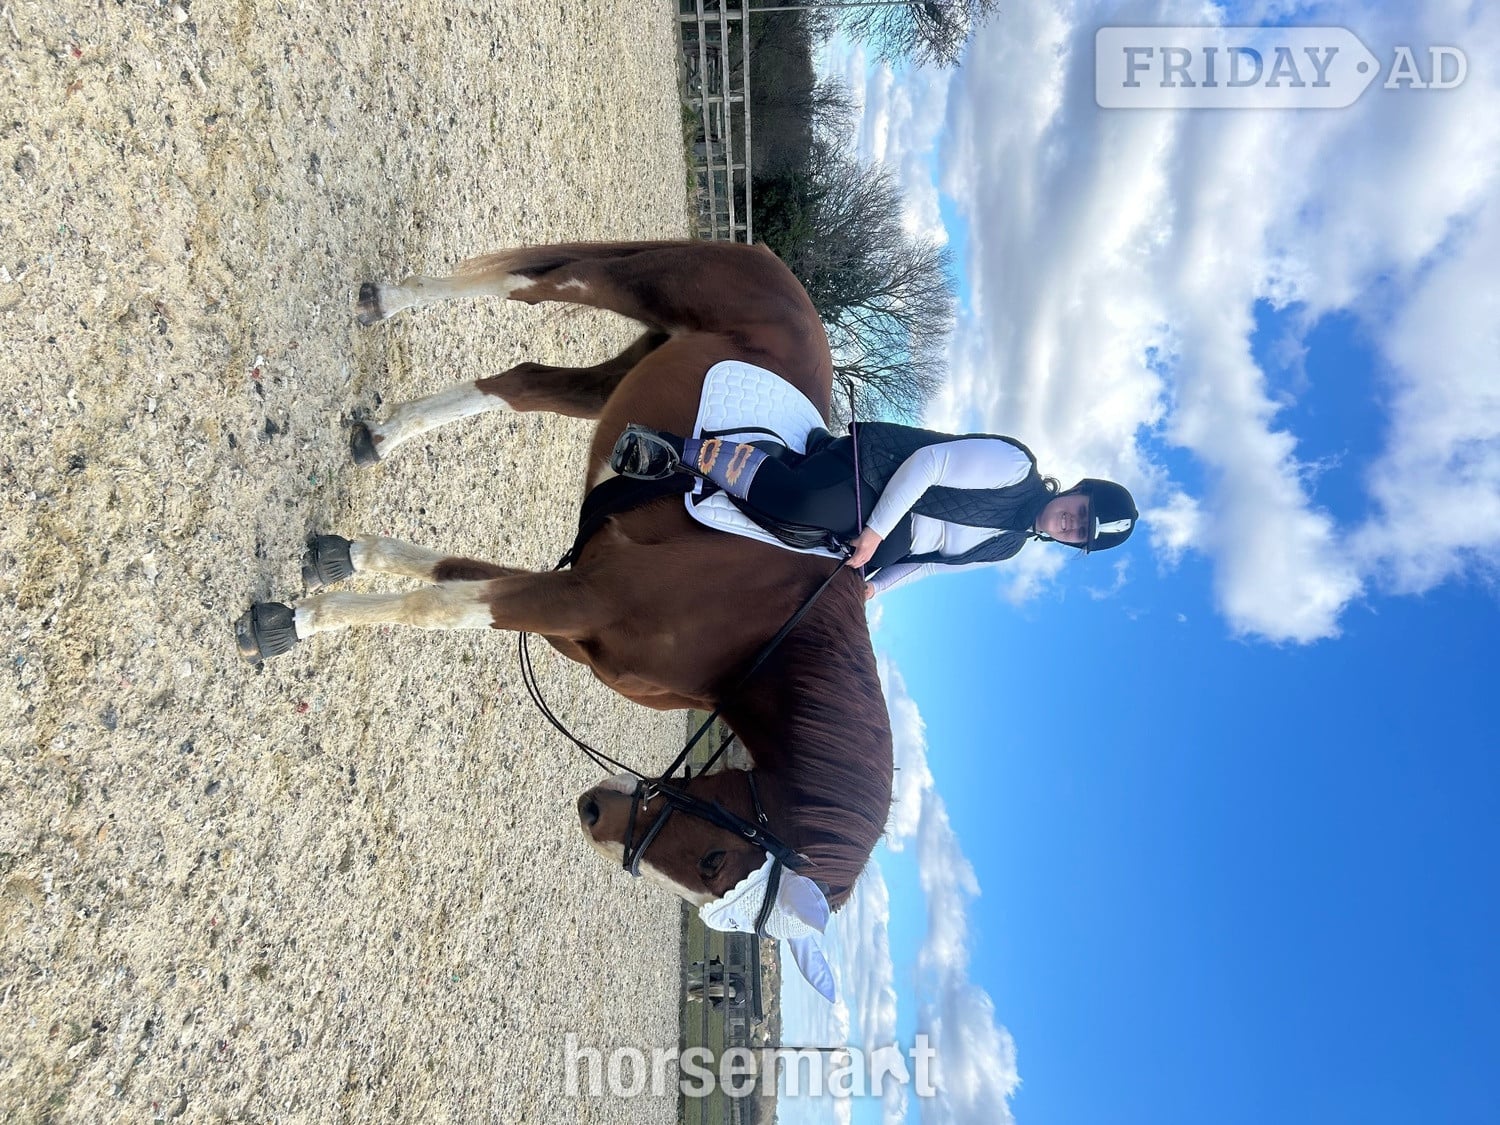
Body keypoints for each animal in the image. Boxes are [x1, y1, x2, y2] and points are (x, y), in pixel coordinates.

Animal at [236, 241, 894, 920]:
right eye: (716, 862)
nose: (593, 813)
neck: (753, 639)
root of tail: (774, 266)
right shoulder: (584, 597)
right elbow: (434, 608)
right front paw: (293, 623)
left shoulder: (573, 612)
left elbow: (451, 577)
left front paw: (348, 558)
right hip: (638, 287)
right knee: (536, 284)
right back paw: (383, 303)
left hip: (627, 370)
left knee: (525, 383)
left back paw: (381, 436)